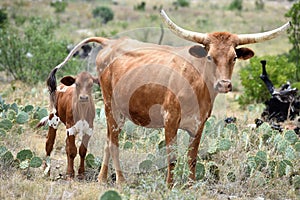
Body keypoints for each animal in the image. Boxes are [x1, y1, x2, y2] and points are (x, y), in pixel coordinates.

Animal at [49, 9, 290, 186]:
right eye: (210, 57)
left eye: (234, 58)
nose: (224, 84)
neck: (198, 83)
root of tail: (110, 43)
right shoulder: (170, 119)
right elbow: (172, 157)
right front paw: (170, 185)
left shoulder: (199, 124)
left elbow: (192, 157)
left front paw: (190, 184)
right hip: (111, 107)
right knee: (114, 141)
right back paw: (120, 180)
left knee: (109, 141)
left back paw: (102, 178)